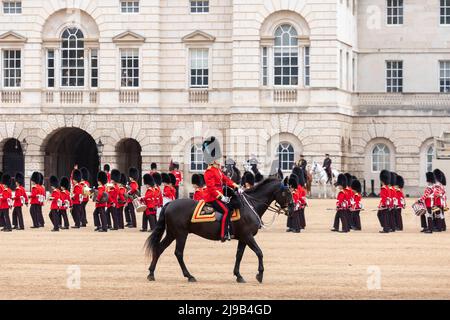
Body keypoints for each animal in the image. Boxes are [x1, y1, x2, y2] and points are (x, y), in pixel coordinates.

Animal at [144, 179, 292, 284]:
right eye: (286, 193)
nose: (292, 208)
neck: (251, 206)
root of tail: (170, 203)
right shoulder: (248, 236)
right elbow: (259, 252)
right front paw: (260, 274)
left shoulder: (243, 238)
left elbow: (239, 255)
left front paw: (238, 275)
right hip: (181, 234)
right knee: (178, 253)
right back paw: (189, 276)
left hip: (172, 233)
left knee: (159, 248)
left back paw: (151, 273)